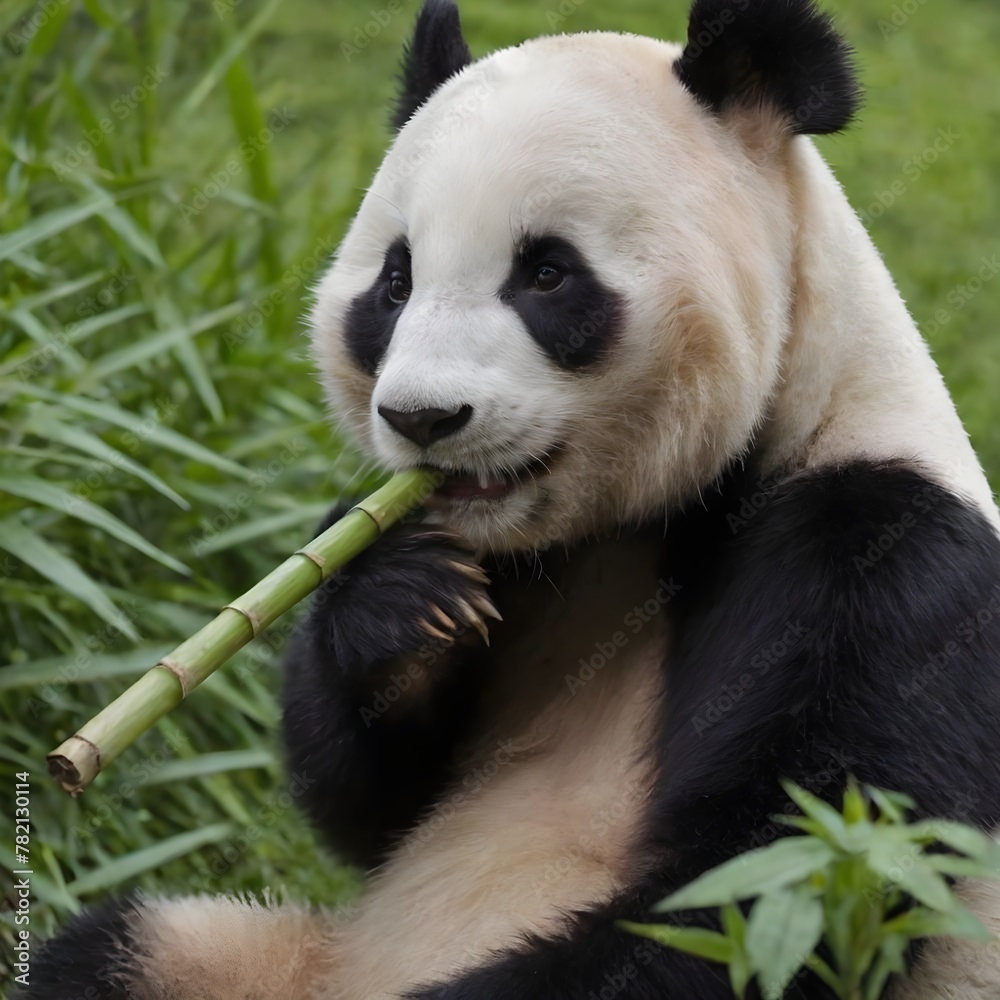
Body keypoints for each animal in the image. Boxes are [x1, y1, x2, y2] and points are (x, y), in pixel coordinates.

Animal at [23, 0, 1000, 997]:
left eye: (546, 273)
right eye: (395, 282)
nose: (422, 417)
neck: (638, 530)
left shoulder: (878, 555)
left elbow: (775, 879)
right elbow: (370, 808)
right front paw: (402, 598)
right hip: (243, 959)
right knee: (113, 949)